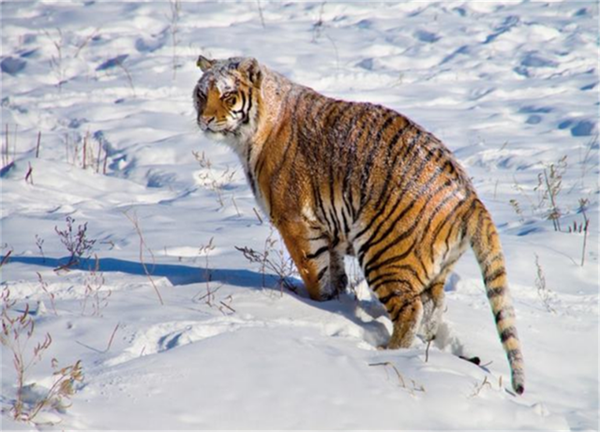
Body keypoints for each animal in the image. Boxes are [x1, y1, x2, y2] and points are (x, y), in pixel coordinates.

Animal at [193, 54, 524, 394]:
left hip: (384, 254)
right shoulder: (329, 229)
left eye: (228, 96)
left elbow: (314, 274)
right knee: (433, 306)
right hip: (435, 269)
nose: (205, 120)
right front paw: (337, 300)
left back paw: (389, 352)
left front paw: (319, 304)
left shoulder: (295, 221)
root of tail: (468, 195)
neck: (254, 130)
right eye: (202, 94)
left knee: (411, 309)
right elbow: (333, 271)